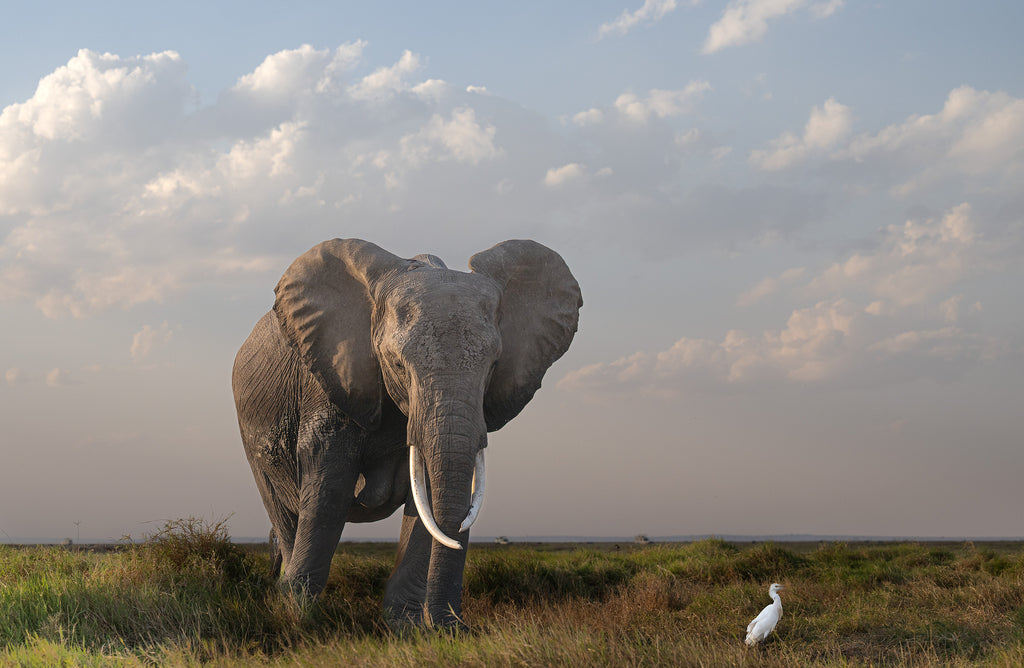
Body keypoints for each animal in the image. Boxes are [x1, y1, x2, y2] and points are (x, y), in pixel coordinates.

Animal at [232, 238, 581, 628]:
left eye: (493, 367)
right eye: (397, 364)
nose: (458, 628)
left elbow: (427, 496)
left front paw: (408, 630)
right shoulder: (328, 379)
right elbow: (328, 485)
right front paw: (300, 621)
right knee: (284, 511)